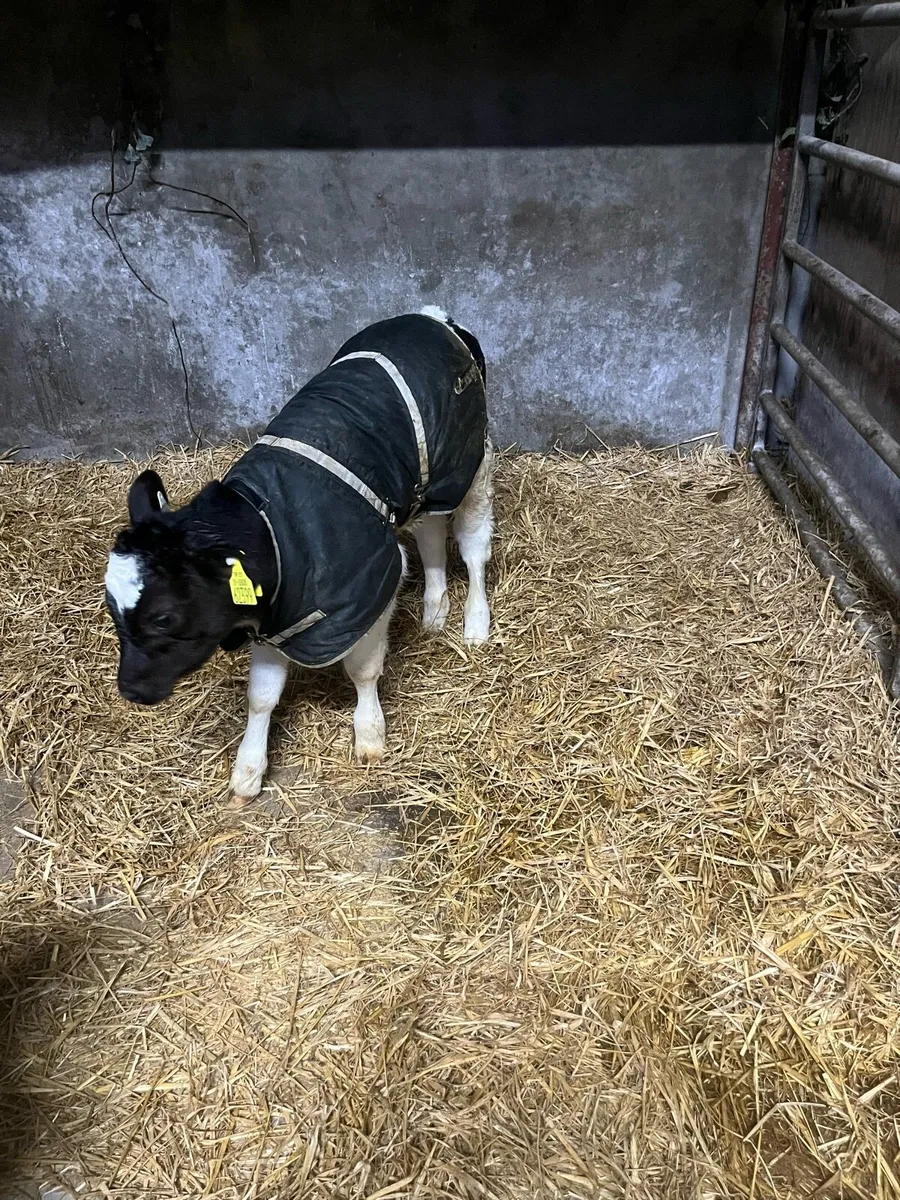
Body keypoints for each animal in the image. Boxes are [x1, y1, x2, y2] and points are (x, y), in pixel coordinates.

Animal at [104, 307, 494, 803]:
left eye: (163, 617)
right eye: (111, 607)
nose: (130, 689)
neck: (270, 526)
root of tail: (431, 317)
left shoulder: (370, 589)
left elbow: (363, 670)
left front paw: (370, 734)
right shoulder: (276, 619)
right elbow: (261, 696)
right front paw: (248, 771)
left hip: (469, 465)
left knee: (473, 544)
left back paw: (475, 623)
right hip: (425, 490)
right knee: (430, 533)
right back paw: (434, 611)